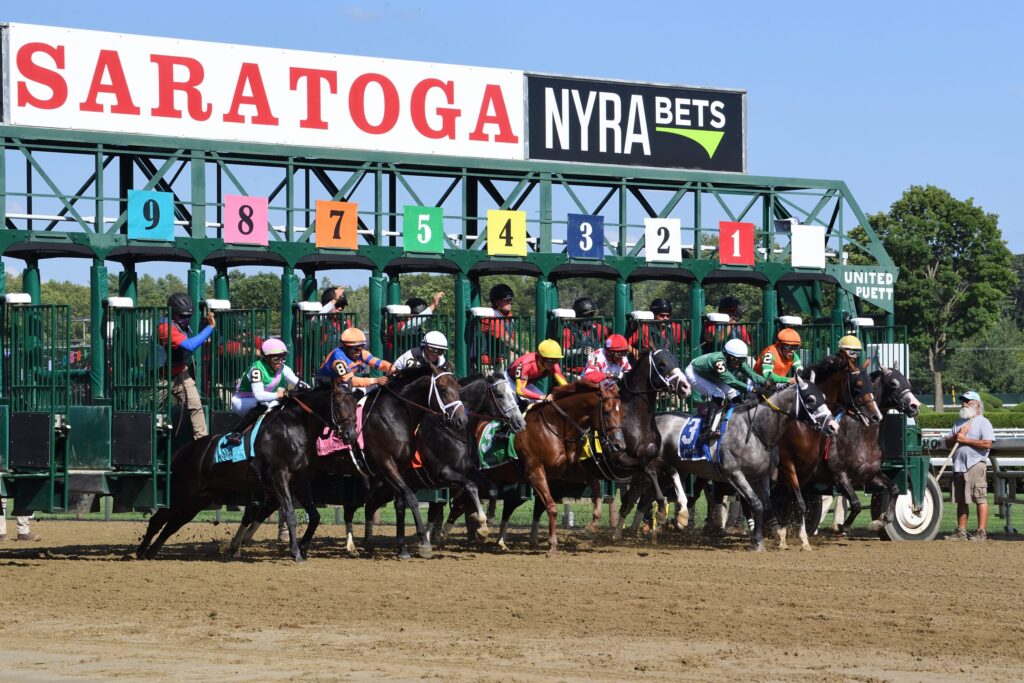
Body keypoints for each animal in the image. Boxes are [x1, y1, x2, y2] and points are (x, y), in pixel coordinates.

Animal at [135, 382, 360, 565]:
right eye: (339, 405)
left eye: (355, 406)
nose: (351, 435)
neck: (294, 428)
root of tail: (182, 451)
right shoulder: (279, 476)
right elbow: (289, 513)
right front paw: (295, 552)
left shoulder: (300, 481)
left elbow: (314, 516)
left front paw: (303, 548)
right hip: (182, 491)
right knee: (158, 519)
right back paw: (140, 552)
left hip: (200, 498)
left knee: (173, 523)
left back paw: (152, 552)